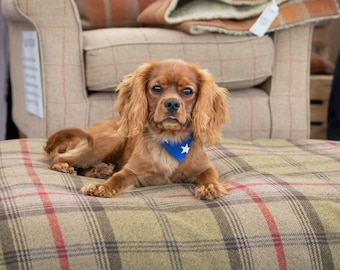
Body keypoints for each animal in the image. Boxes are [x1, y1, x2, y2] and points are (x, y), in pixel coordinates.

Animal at [43, 59, 230, 199]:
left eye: (187, 91)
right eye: (156, 88)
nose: (172, 103)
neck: (170, 140)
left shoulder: (204, 167)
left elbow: (209, 174)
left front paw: (209, 187)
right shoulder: (132, 172)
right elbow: (118, 177)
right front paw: (102, 187)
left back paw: (100, 170)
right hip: (110, 140)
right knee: (59, 158)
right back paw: (67, 167)